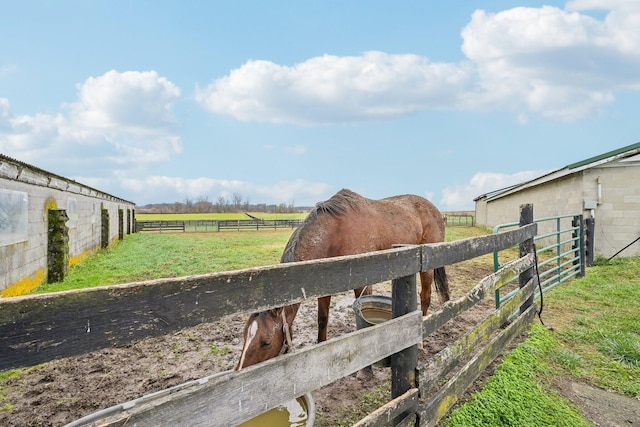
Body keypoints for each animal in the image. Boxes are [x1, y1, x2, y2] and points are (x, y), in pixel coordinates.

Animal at [235, 191, 450, 372]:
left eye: (266, 342)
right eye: (244, 335)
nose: (240, 372)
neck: (335, 233)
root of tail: (435, 211)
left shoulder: (363, 284)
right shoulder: (324, 287)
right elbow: (322, 319)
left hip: (427, 267)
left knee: (425, 297)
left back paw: (420, 340)